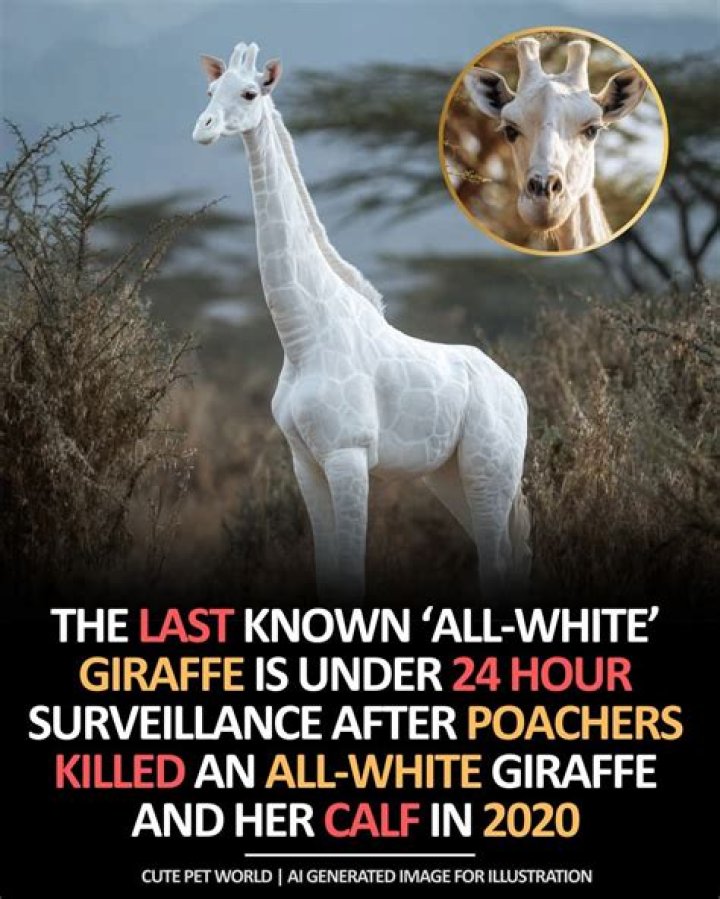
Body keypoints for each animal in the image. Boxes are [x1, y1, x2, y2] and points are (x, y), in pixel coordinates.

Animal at [192, 41, 531, 603]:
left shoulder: (347, 456)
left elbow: (352, 571)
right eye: (209, 91)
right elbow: (328, 569)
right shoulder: (305, 462)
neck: (302, 336)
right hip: (448, 474)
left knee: (499, 555)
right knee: (508, 552)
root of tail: (518, 391)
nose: (204, 129)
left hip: (491, 468)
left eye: (250, 93)